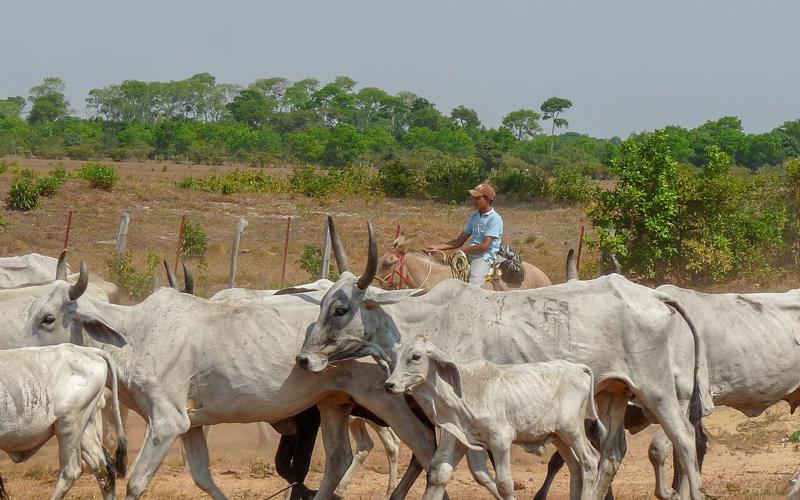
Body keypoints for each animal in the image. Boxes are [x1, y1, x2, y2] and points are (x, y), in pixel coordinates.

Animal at [20, 262, 441, 500]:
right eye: (30, 312)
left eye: (49, 318)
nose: (18, 353)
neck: (136, 336)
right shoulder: (189, 425)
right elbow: (203, 478)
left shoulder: (166, 422)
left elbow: (136, 482)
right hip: (332, 403)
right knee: (339, 459)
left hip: (388, 401)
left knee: (424, 447)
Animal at [385, 335, 605, 500]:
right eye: (397, 355)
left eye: (416, 356)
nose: (389, 385)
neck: (463, 390)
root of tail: (578, 368)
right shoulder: (459, 438)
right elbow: (438, 475)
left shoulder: (500, 440)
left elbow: (505, 484)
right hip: (558, 435)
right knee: (576, 468)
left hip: (572, 430)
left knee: (590, 461)